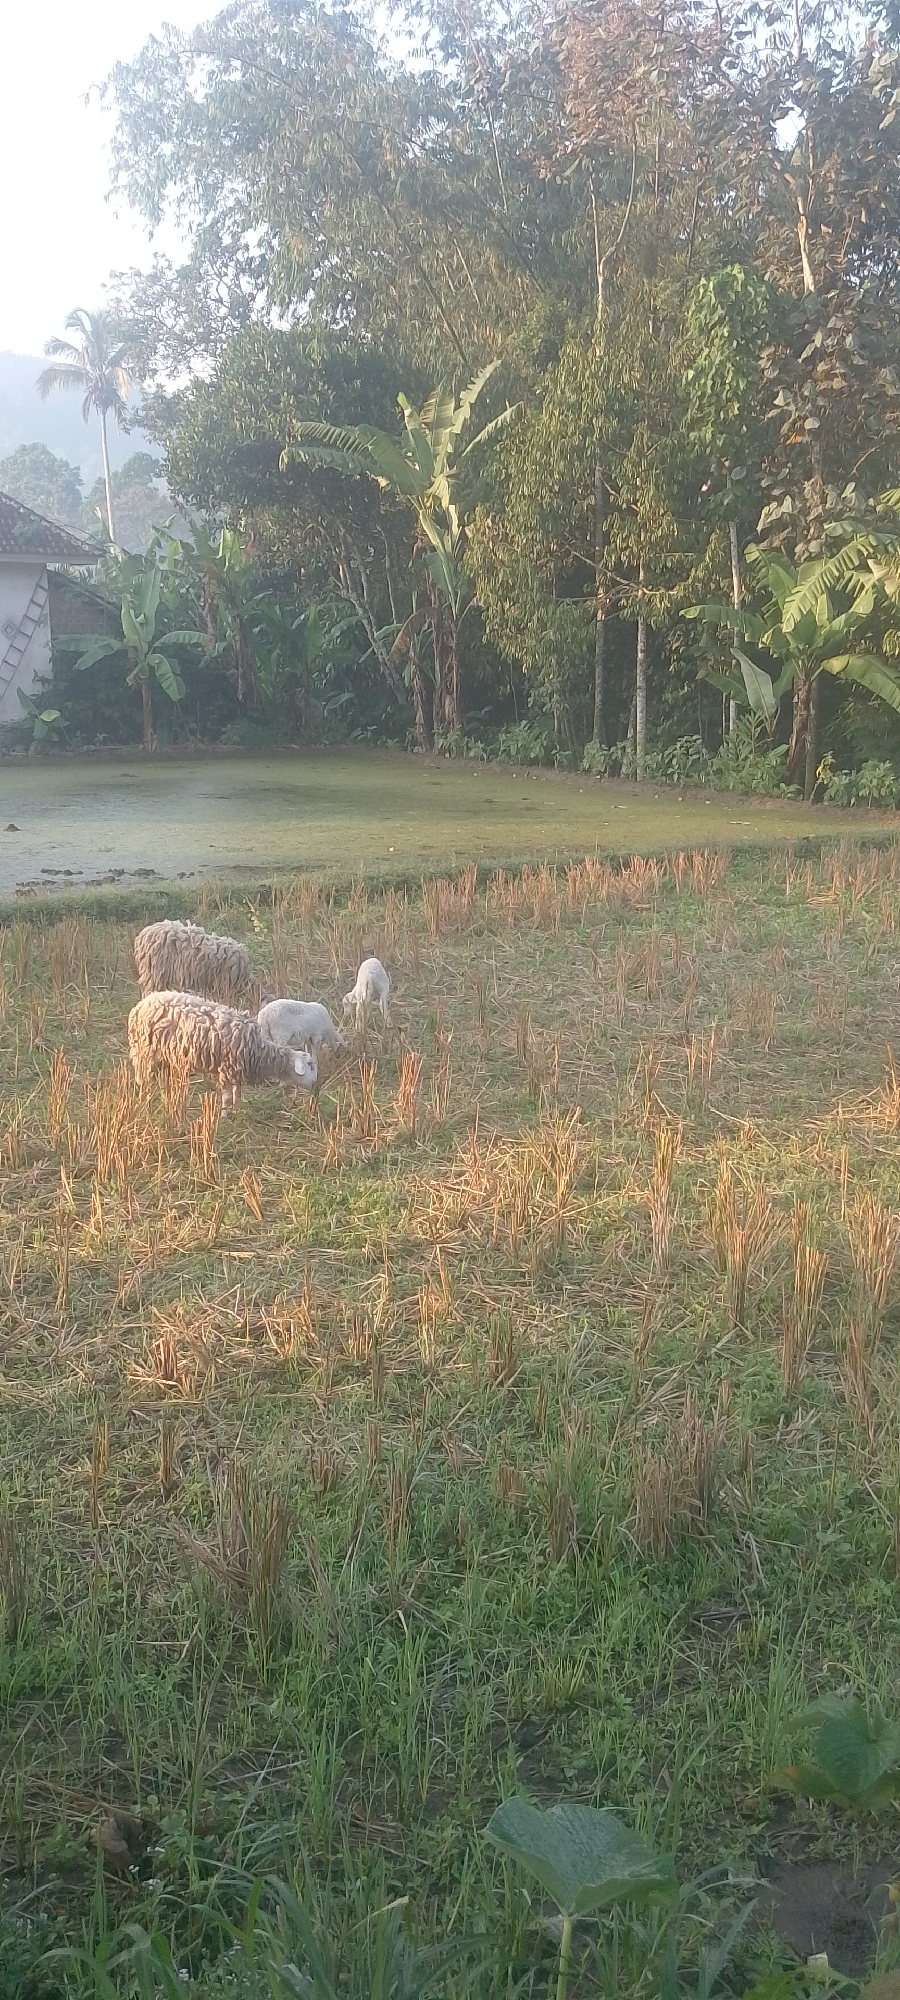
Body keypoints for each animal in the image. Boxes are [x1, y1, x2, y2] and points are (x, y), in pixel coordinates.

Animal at [128, 990, 316, 1113]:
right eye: (310, 1065)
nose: (316, 1085)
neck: (258, 1050)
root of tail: (142, 1004)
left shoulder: (237, 1069)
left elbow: (237, 1092)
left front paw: (236, 1112)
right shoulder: (227, 1067)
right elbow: (226, 1095)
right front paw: (225, 1115)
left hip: (164, 1056)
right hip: (145, 1053)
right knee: (144, 1080)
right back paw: (146, 1102)